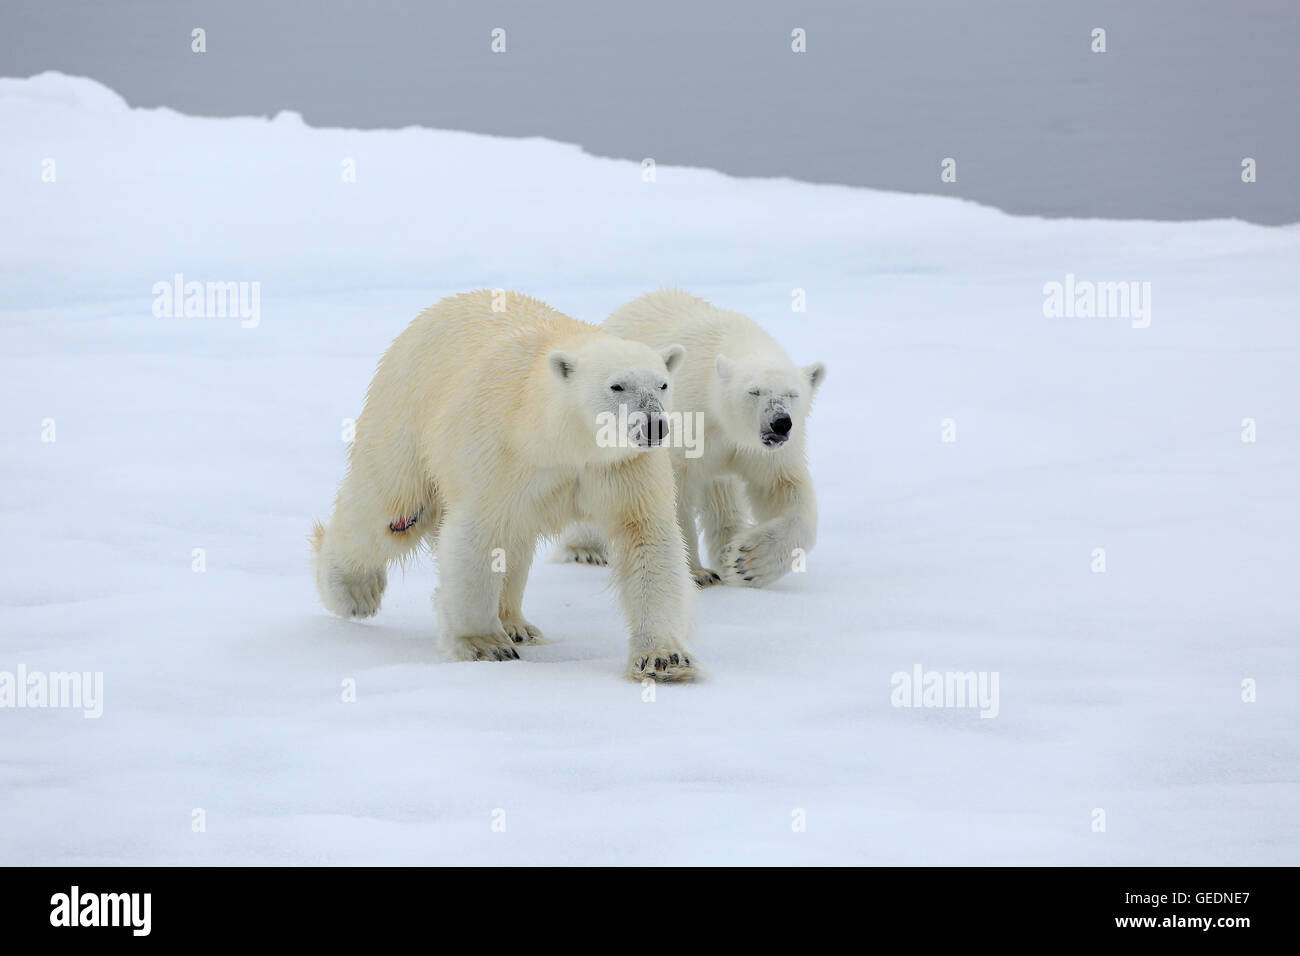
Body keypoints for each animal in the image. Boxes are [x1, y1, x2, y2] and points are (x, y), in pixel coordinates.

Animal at [311, 290, 699, 681]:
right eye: (616, 385)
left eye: (662, 384)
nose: (653, 425)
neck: (556, 439)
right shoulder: (500, 451)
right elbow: (478, 533)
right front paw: (483, 644)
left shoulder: (621, 466)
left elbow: (646, 536)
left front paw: (663, 659)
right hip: (406, 413)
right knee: (388, 509)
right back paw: (353, 593)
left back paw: (517, 624)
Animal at [558, 289, 826, 588]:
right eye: (754, 391)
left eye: (793, 394)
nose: (780, 422)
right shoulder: (690, 420)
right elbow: (673, 490)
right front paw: (698, 573)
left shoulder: (761, 450)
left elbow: (782, 487)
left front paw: (746, 562)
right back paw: (585, 549)